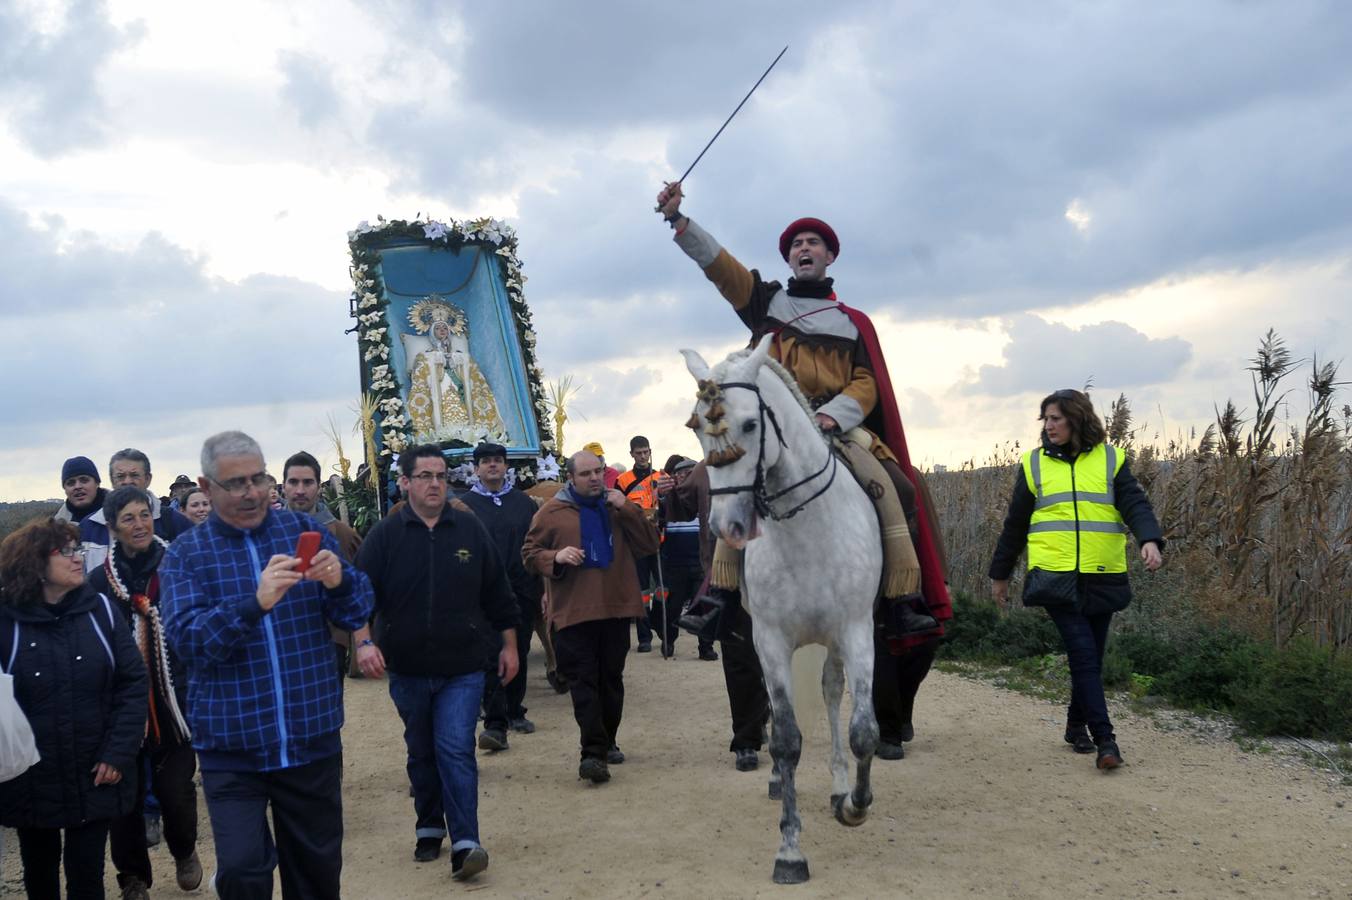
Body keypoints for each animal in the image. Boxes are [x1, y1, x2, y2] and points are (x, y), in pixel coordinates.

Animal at [681, 332, 881, 881]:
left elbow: (863, 731)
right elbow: (787, 738)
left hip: (834, 640)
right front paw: (790, 850)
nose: (728, 527)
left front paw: (855, 805)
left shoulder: (857, 631)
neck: (807, 529)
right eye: (697, 429)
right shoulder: (769, 639)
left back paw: (839, 787)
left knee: (832, 694)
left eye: (751, 424)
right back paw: (777, 780)